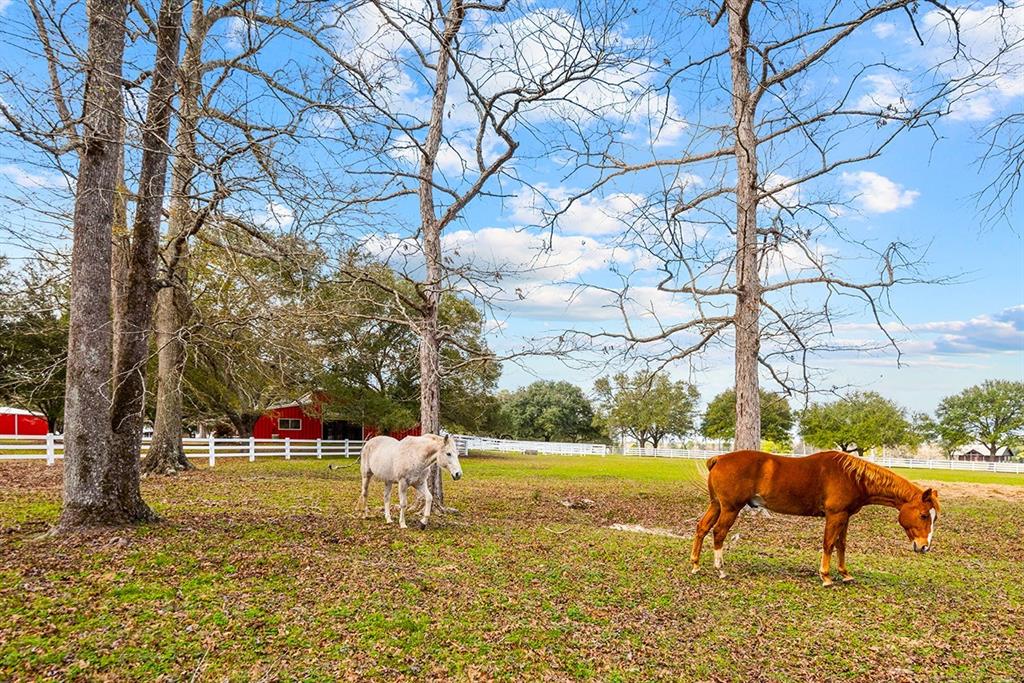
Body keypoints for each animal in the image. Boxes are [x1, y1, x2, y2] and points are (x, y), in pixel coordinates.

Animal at [692, 448, 937, 589]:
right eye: (924, 515)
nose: (924, 547)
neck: (852, 477)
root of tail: (719, 459)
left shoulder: (845, 517)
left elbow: (841, 544)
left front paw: (845, 574)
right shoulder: (834, 515)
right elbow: (828, 544)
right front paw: (826, 577)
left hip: (716, 505)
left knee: (702, 528)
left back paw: (695, 565)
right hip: (730, 509)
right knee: (719, 533)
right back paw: (720, 569)